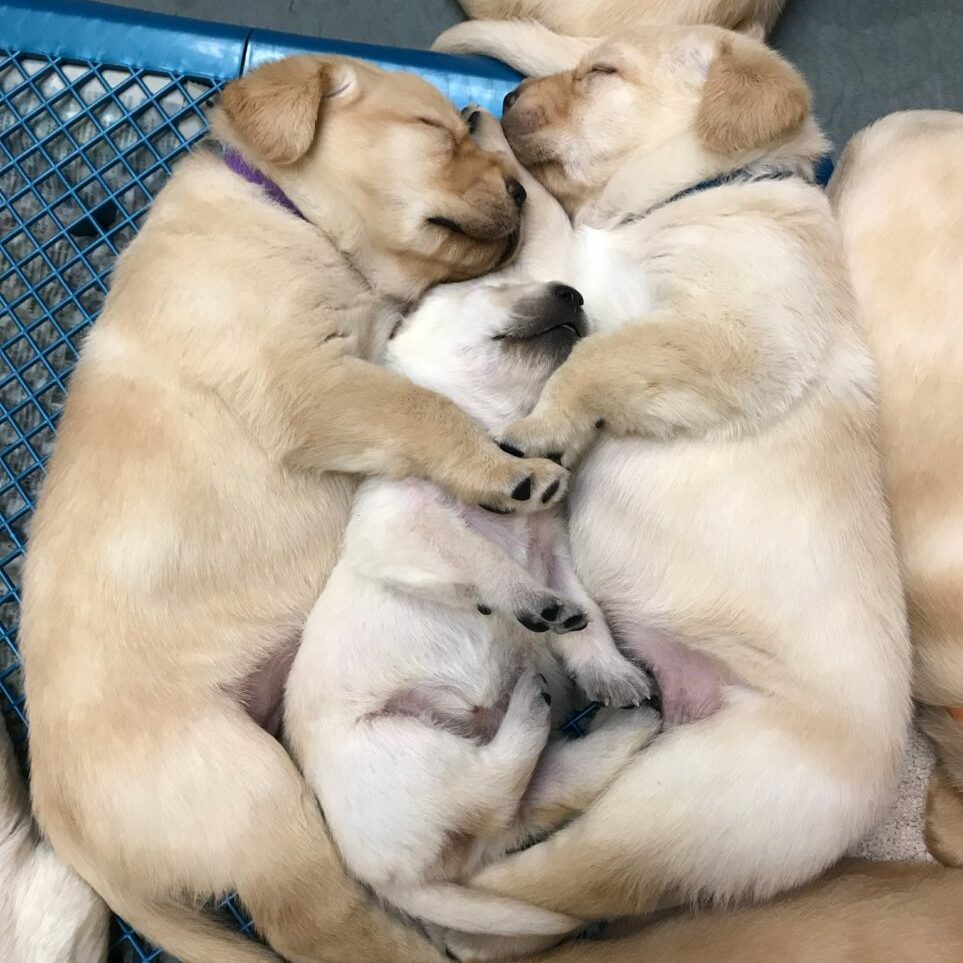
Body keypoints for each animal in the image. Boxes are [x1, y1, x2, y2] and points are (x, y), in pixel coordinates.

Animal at [18, 54, 568, 963]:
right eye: (432, 130)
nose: (521, 192)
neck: (284, 214)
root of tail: (64, 824)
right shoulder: (311, 381)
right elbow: (420, 409)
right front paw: (502, 470)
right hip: (254, 796)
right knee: (321, 923)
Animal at [286, 278, 664, 956]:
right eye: (492, 286)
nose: (572, 292)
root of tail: (394, 879)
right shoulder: (399, 525)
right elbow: (481, 557)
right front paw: (527, 602)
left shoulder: (556, 554)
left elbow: (590, 619)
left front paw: (610, 672)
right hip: (405, 749)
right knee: (491, 786)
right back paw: (532, 706)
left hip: (485, 796)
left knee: (528, 797)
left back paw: (623, 723)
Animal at [428, 22, 912, 956]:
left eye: (601, 72)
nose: (505, 98)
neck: (688, 198)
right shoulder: (575, 268)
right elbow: (547, 226)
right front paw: (490, 133)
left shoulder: (723, 331)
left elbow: (598, 357)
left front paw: (546, 426)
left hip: (674, 807)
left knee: (533, 894)